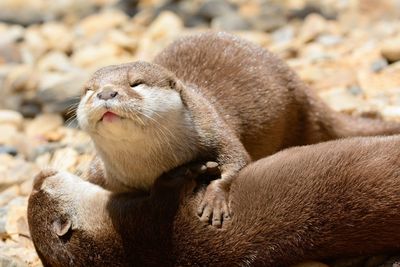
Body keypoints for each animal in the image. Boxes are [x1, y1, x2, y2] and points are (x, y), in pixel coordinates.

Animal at [76, 30, 400, 226]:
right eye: (88, 90)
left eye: (135, 83)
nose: (106, 93)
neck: (148, 166)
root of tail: (300, 88)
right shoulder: (101, 172)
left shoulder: (213, 126)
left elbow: (238, 159)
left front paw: (214, 201)